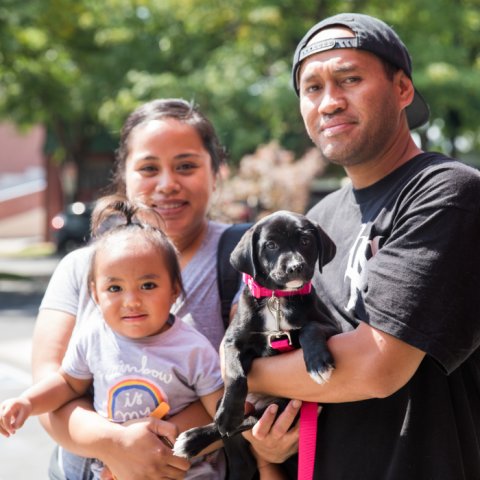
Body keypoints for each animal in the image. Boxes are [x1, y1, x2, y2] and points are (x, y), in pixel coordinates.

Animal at [174, 212, 340, 478]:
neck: (277, 300)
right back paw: (196, 438)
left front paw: (317, 364)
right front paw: (229, 413)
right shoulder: (232, 342)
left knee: (249, 423)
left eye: (305, 241)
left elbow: (310, 327)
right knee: (234, 433)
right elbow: (236, 375)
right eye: (270, 245)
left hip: (282, 407)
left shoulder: (334, 327)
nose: (295, 266)